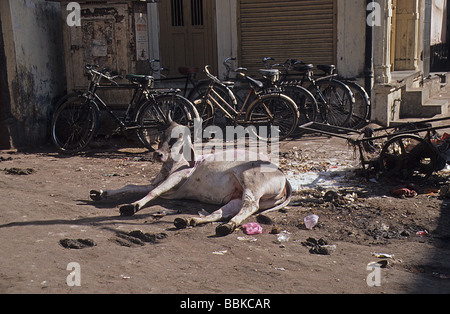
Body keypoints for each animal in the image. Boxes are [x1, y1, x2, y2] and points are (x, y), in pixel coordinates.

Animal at [89, 119, 292, 236]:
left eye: (175, 139)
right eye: (161, 136)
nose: (158, 154)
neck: (173, 165)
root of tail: (283, 174)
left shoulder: (175, 178)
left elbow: (153, 192)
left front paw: (132, 206)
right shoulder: (158, 181)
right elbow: (130, 185)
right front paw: (100, 192)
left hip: (251, 184)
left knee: (250, 206)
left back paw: (229, 226)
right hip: (238, 197)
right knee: (221, 213)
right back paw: (191, 221)